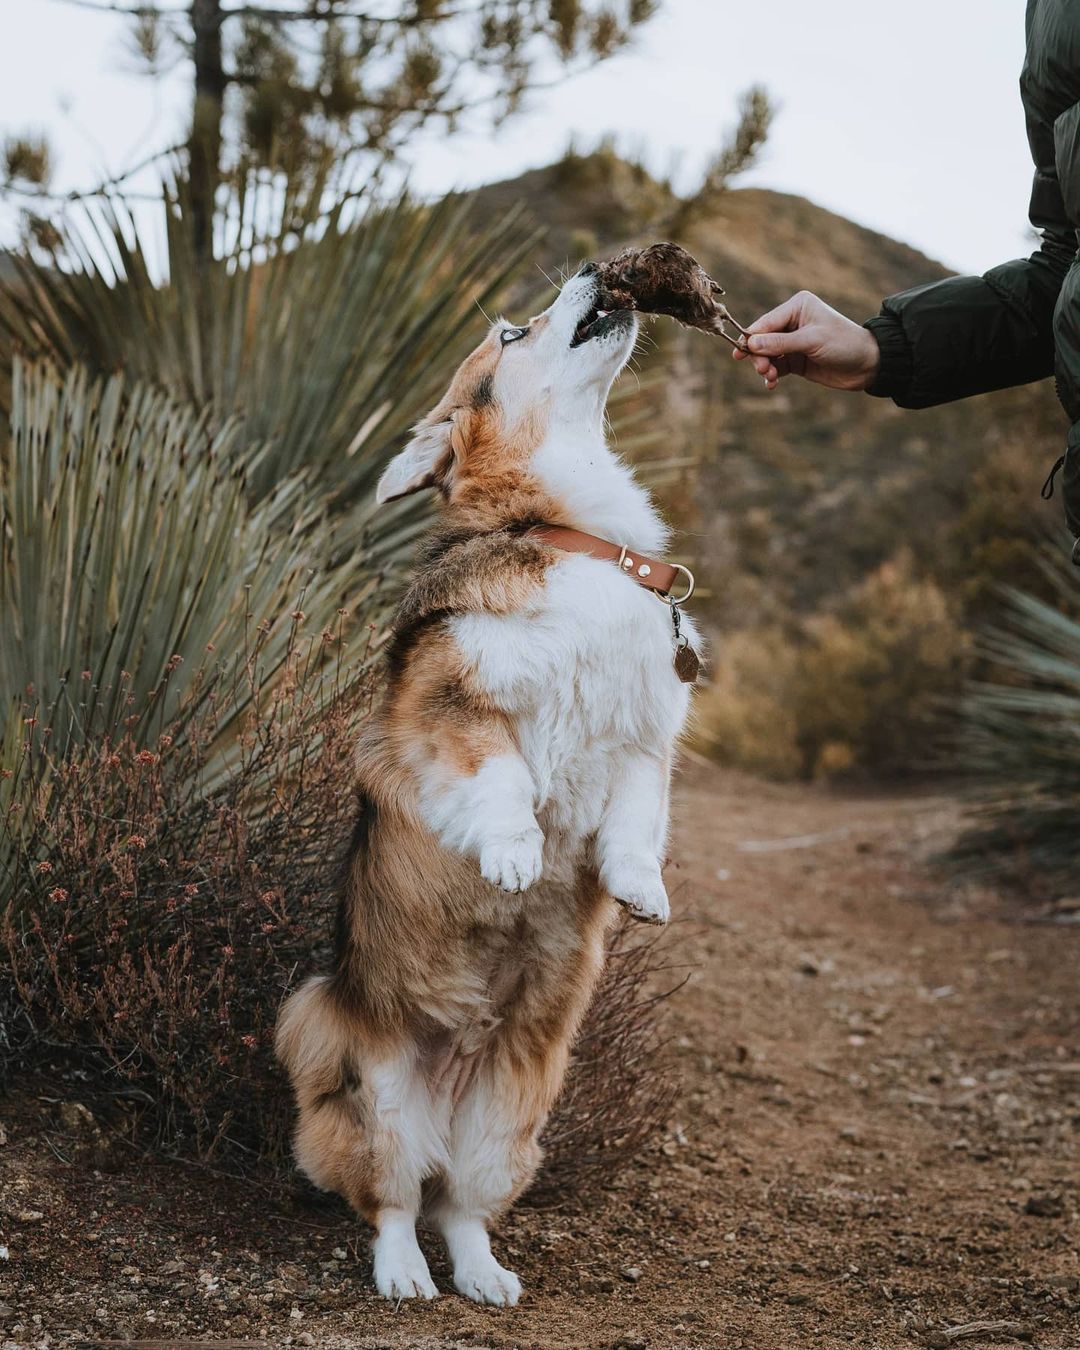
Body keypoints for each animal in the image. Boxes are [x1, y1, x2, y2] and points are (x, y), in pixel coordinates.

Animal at [276, 257, 702, 1301]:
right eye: (510, 335)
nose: (595, 267)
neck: (566, 531)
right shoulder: (456, 706)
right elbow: (503, 780)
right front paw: (514, 857)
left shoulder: (646, 740)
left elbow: (637, 822)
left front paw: (641, 891)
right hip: (381, 1100)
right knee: (394, 1203)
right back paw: (403, 1277)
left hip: (509, 1117)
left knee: (460, 1208)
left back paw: (483, 1275)